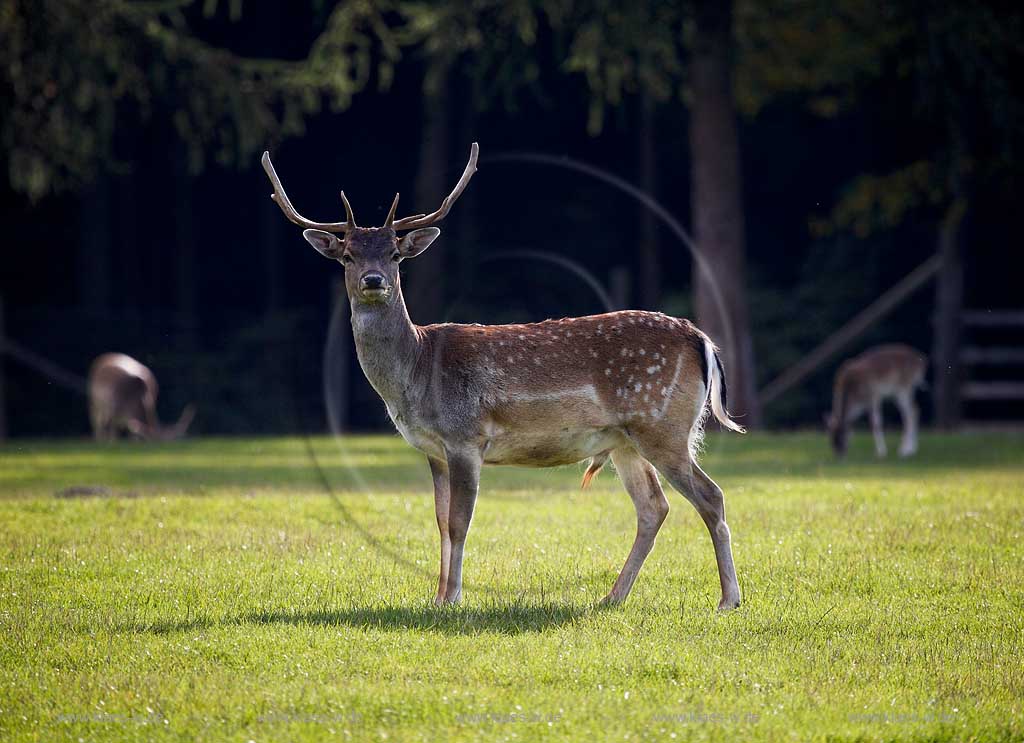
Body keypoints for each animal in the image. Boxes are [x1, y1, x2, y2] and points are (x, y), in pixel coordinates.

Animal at [262, 144, 745, 609]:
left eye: (395, 254)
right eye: (348, 255)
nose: (374, 279)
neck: (414, 374)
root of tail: (700, 338)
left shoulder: (465, 437)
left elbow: (460, 523)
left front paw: (453, 598)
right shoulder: (434, 450)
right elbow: (440, 522)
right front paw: (436, 597)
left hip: (662, 424)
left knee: (711, 496)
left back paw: (728, 599)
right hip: (626, 439)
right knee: (653, 507)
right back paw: (612, 596)